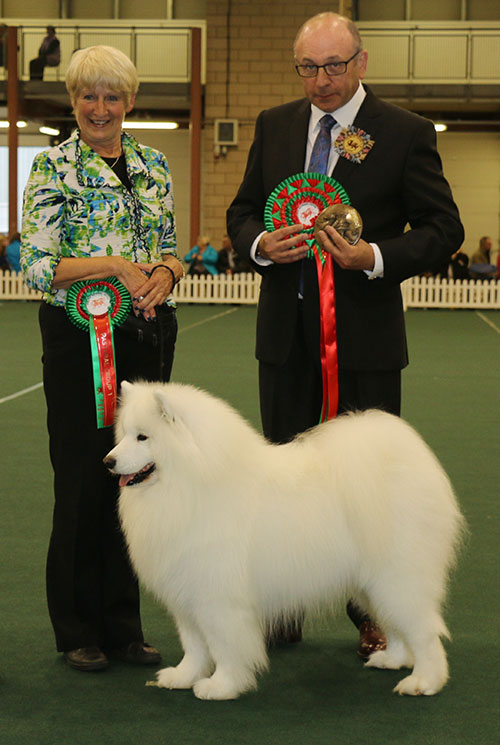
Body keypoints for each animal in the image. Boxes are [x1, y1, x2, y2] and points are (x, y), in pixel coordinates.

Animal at [102, 380, 464, 700]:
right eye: (123, 435)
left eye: (143, 437)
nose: (108, 461)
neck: (189, 484)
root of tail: (411, 461)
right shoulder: (187, 594)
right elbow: (194, 646)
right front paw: (183, 677)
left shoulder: (218, 599)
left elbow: (223, 646)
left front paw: (221, 686)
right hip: (373, 583)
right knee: (397, 626)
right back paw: (393, 660)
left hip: (398, 577)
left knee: (424, 632)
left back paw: (424, 682)